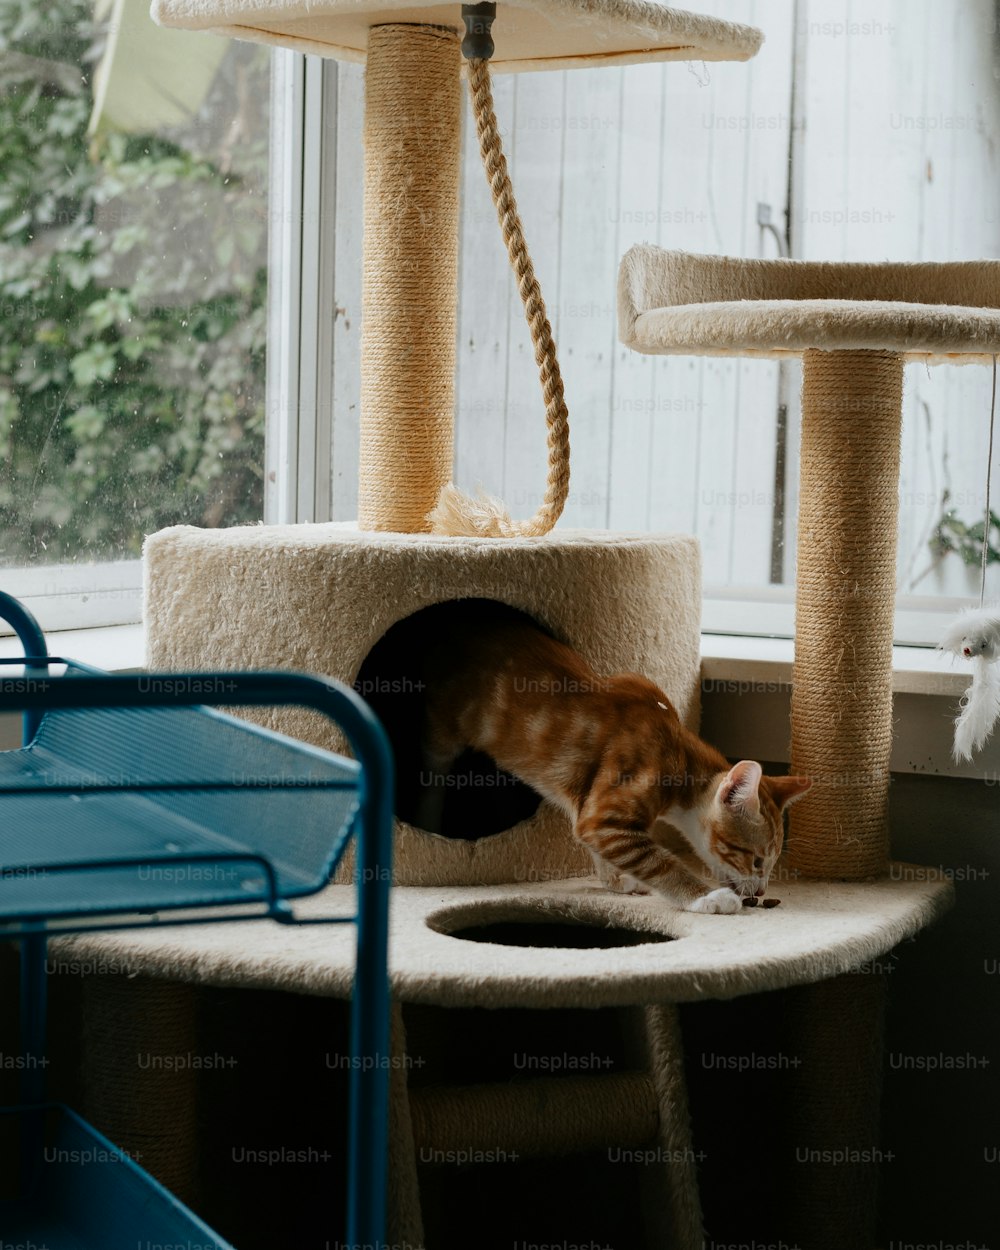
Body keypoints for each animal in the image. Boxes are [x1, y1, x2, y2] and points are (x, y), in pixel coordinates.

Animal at [417, 602, 810, 910]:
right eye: (756, 860)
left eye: (771, 861)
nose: (761, 891)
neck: (676, 750)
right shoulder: (607, 812)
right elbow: (657, 861)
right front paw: (704, 897)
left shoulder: (591, 812)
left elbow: (600, 846)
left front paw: (616, 880)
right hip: (438, 743)